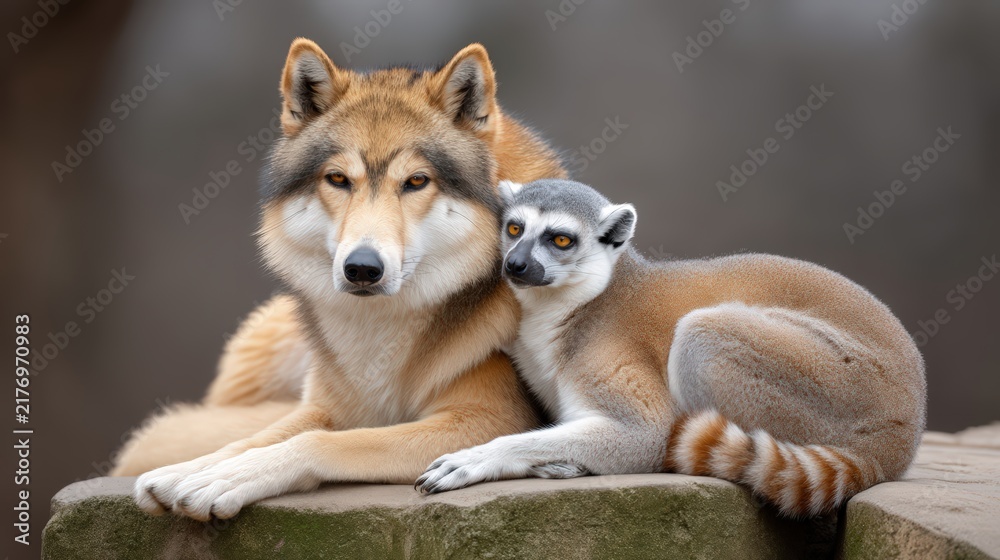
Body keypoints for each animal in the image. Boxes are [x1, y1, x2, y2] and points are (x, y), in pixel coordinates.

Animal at [112, 39, 565, 521]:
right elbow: (251, 439)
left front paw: (226, 479)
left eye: (416, 181)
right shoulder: (326, 406)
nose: (362, 267)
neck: (379, 332)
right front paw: (189, 471)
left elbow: (318, 442)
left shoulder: (490, 419)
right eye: (338, 179)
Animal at [417, 179, 927, 517]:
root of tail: (899, 437)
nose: (516, 265)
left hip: (835, 385)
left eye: (560, 240)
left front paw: (483, 458)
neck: (570, 306)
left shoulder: (609, 351)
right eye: (514, 229)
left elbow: (647, 434)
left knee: (703, 335)